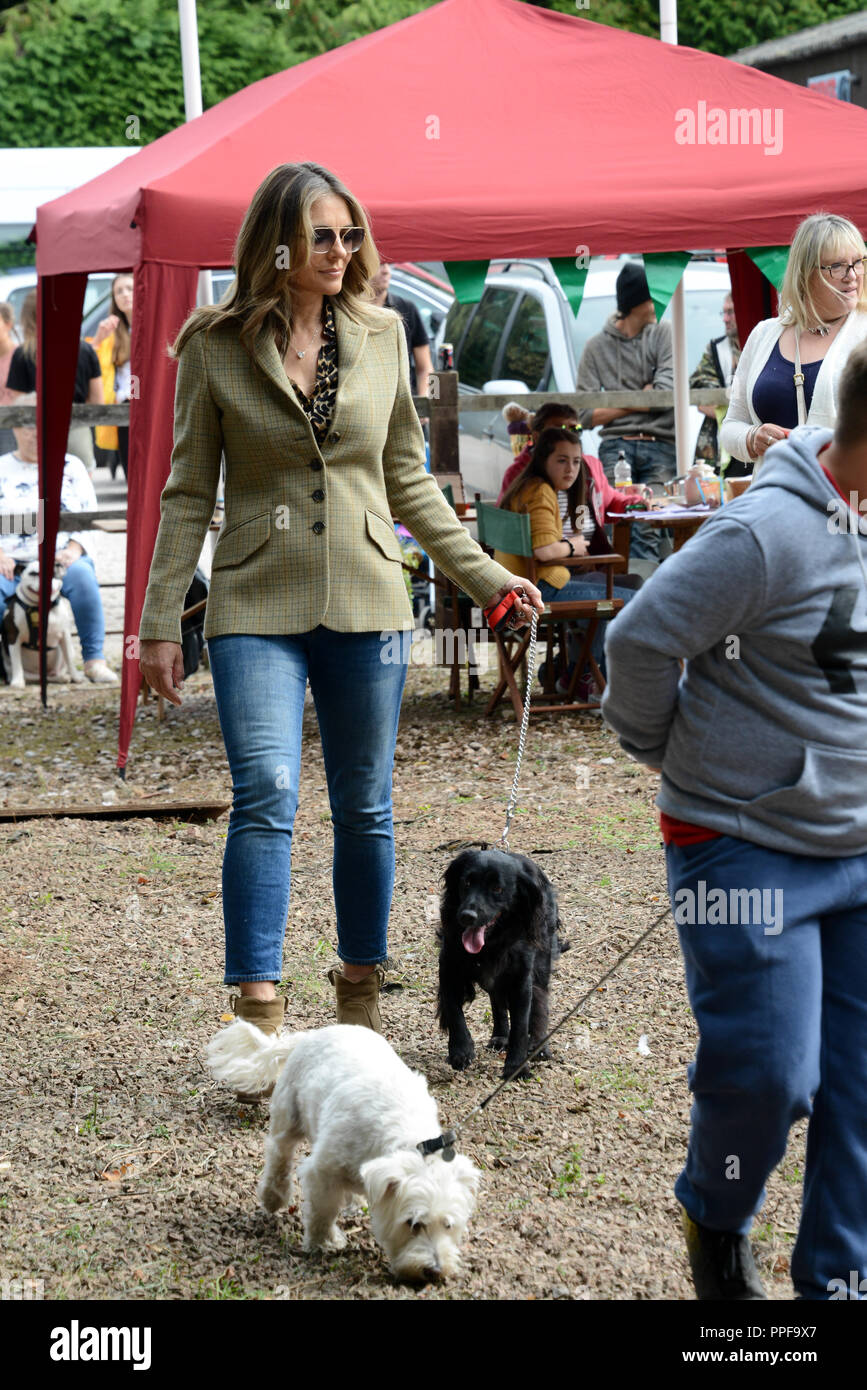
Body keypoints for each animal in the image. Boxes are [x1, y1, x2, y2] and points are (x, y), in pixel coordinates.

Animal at [209, 1023, 480, 1278]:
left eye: (448, 1225)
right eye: (412, 1223)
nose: (435, 1270)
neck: (409, 1139)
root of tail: (311, 1035)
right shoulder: (322, 1171)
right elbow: (323, 1210)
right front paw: (323, 1242)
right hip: (288, 1117)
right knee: (279, 1153)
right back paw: (274, 1196)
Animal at [433, 839, 569, 1078]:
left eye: (497, 889)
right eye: (466, 882)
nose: (467, 916)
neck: (491, 943)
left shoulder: (521, 980)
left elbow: (521, 1025)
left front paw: (516, 1066)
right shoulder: (449, 967)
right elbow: (453, 1009)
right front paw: (461, 1050)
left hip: (540, 967)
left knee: (540, 1002)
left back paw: (540, 1046)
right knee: (496, 1001)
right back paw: (499, 1036)